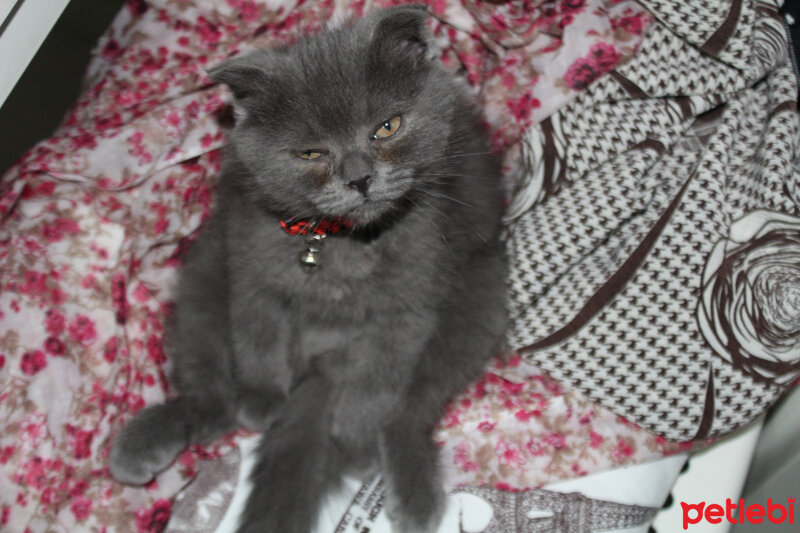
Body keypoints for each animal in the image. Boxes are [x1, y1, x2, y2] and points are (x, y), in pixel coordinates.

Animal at [110, 5, 506, 532]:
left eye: (387, 126)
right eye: (312, 153)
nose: (360, 178)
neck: (339, 240)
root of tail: (322, 360)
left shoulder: (411, 300)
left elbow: (379, 376)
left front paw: (352, 433)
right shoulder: (250, 260)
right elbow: (258, 332)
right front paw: (262, 399)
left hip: (480, 295)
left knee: (412, 407)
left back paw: (408, 488)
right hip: (204, 273)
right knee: (209, 394)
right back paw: (149, 441)